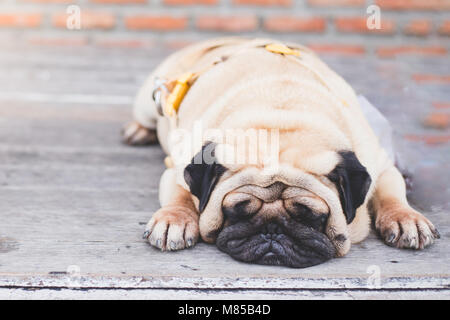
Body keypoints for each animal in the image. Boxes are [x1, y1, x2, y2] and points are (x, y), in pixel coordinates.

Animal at [122, 37, 440, 268]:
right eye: (235, 212)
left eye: (311, 217)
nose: (272, 231)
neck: (282, 111)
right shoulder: (178, 168)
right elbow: (178, 198)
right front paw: (173, 221)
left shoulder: (378, 164)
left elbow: (391, 193)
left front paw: (406, 219)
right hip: (149, 103)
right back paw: (139, 131)